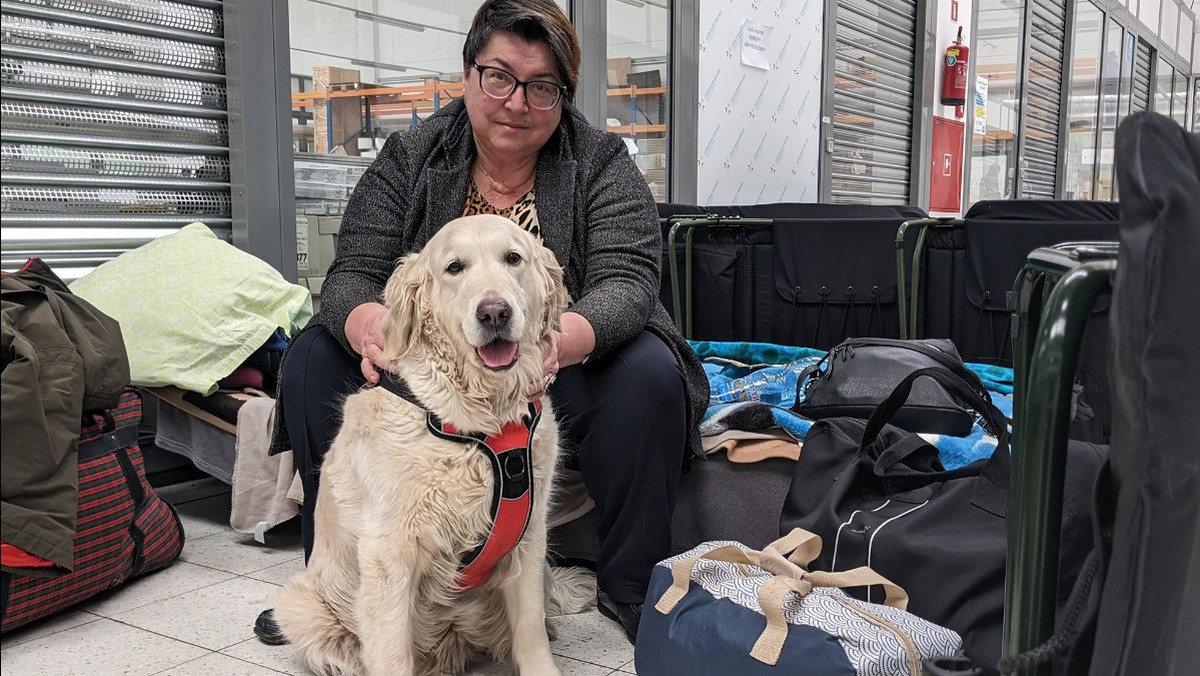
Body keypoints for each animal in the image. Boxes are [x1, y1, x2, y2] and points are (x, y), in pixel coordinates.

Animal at [273, 216, 590, 676]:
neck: (476, 422)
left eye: (513, 258)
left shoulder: (530, 540)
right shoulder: (389, 554)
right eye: (454, 268)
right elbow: (390, 652)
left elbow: (530, 629)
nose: (494, 312)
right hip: (299, 606)